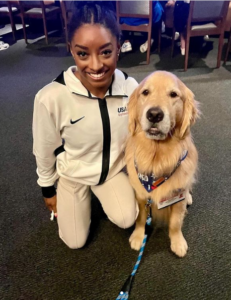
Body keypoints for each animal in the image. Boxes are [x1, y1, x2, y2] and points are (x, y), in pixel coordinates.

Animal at [125, 71, 199, 258]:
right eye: (145, 92)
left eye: (173, 94)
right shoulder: (141, 194)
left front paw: (177, 242)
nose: (154, 114)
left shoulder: (177, 196)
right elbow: (140, 218)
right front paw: (138, 236)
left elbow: (175, 222)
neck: (156, 158)